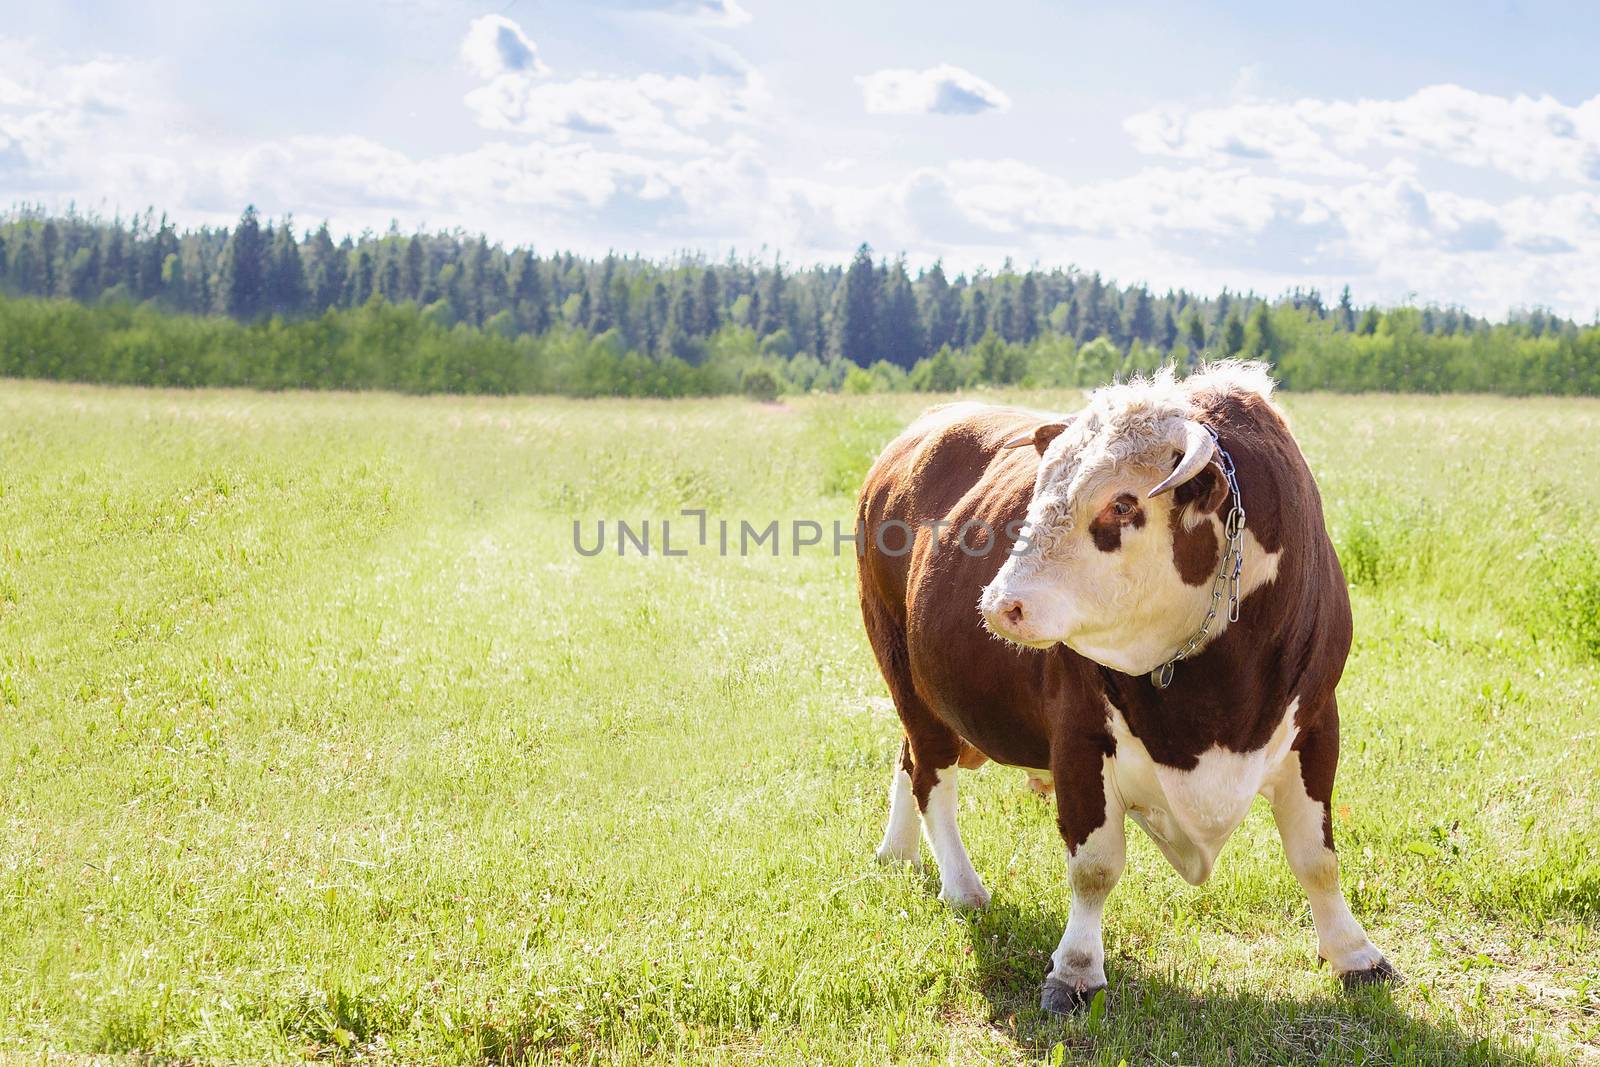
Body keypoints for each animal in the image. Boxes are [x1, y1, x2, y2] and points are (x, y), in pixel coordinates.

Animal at [857, 363, 1395, 1017]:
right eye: (1039, 491)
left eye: (1122, 502)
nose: (1000, 604)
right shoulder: (1079, 736)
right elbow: (1094, 866)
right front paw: (1076, 971)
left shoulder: (1317, 722)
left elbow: (1317, 858)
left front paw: (1354, 954)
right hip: (905, 672)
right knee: (931, 770)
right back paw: (962, 887)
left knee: (909, 759)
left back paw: (898, 851)